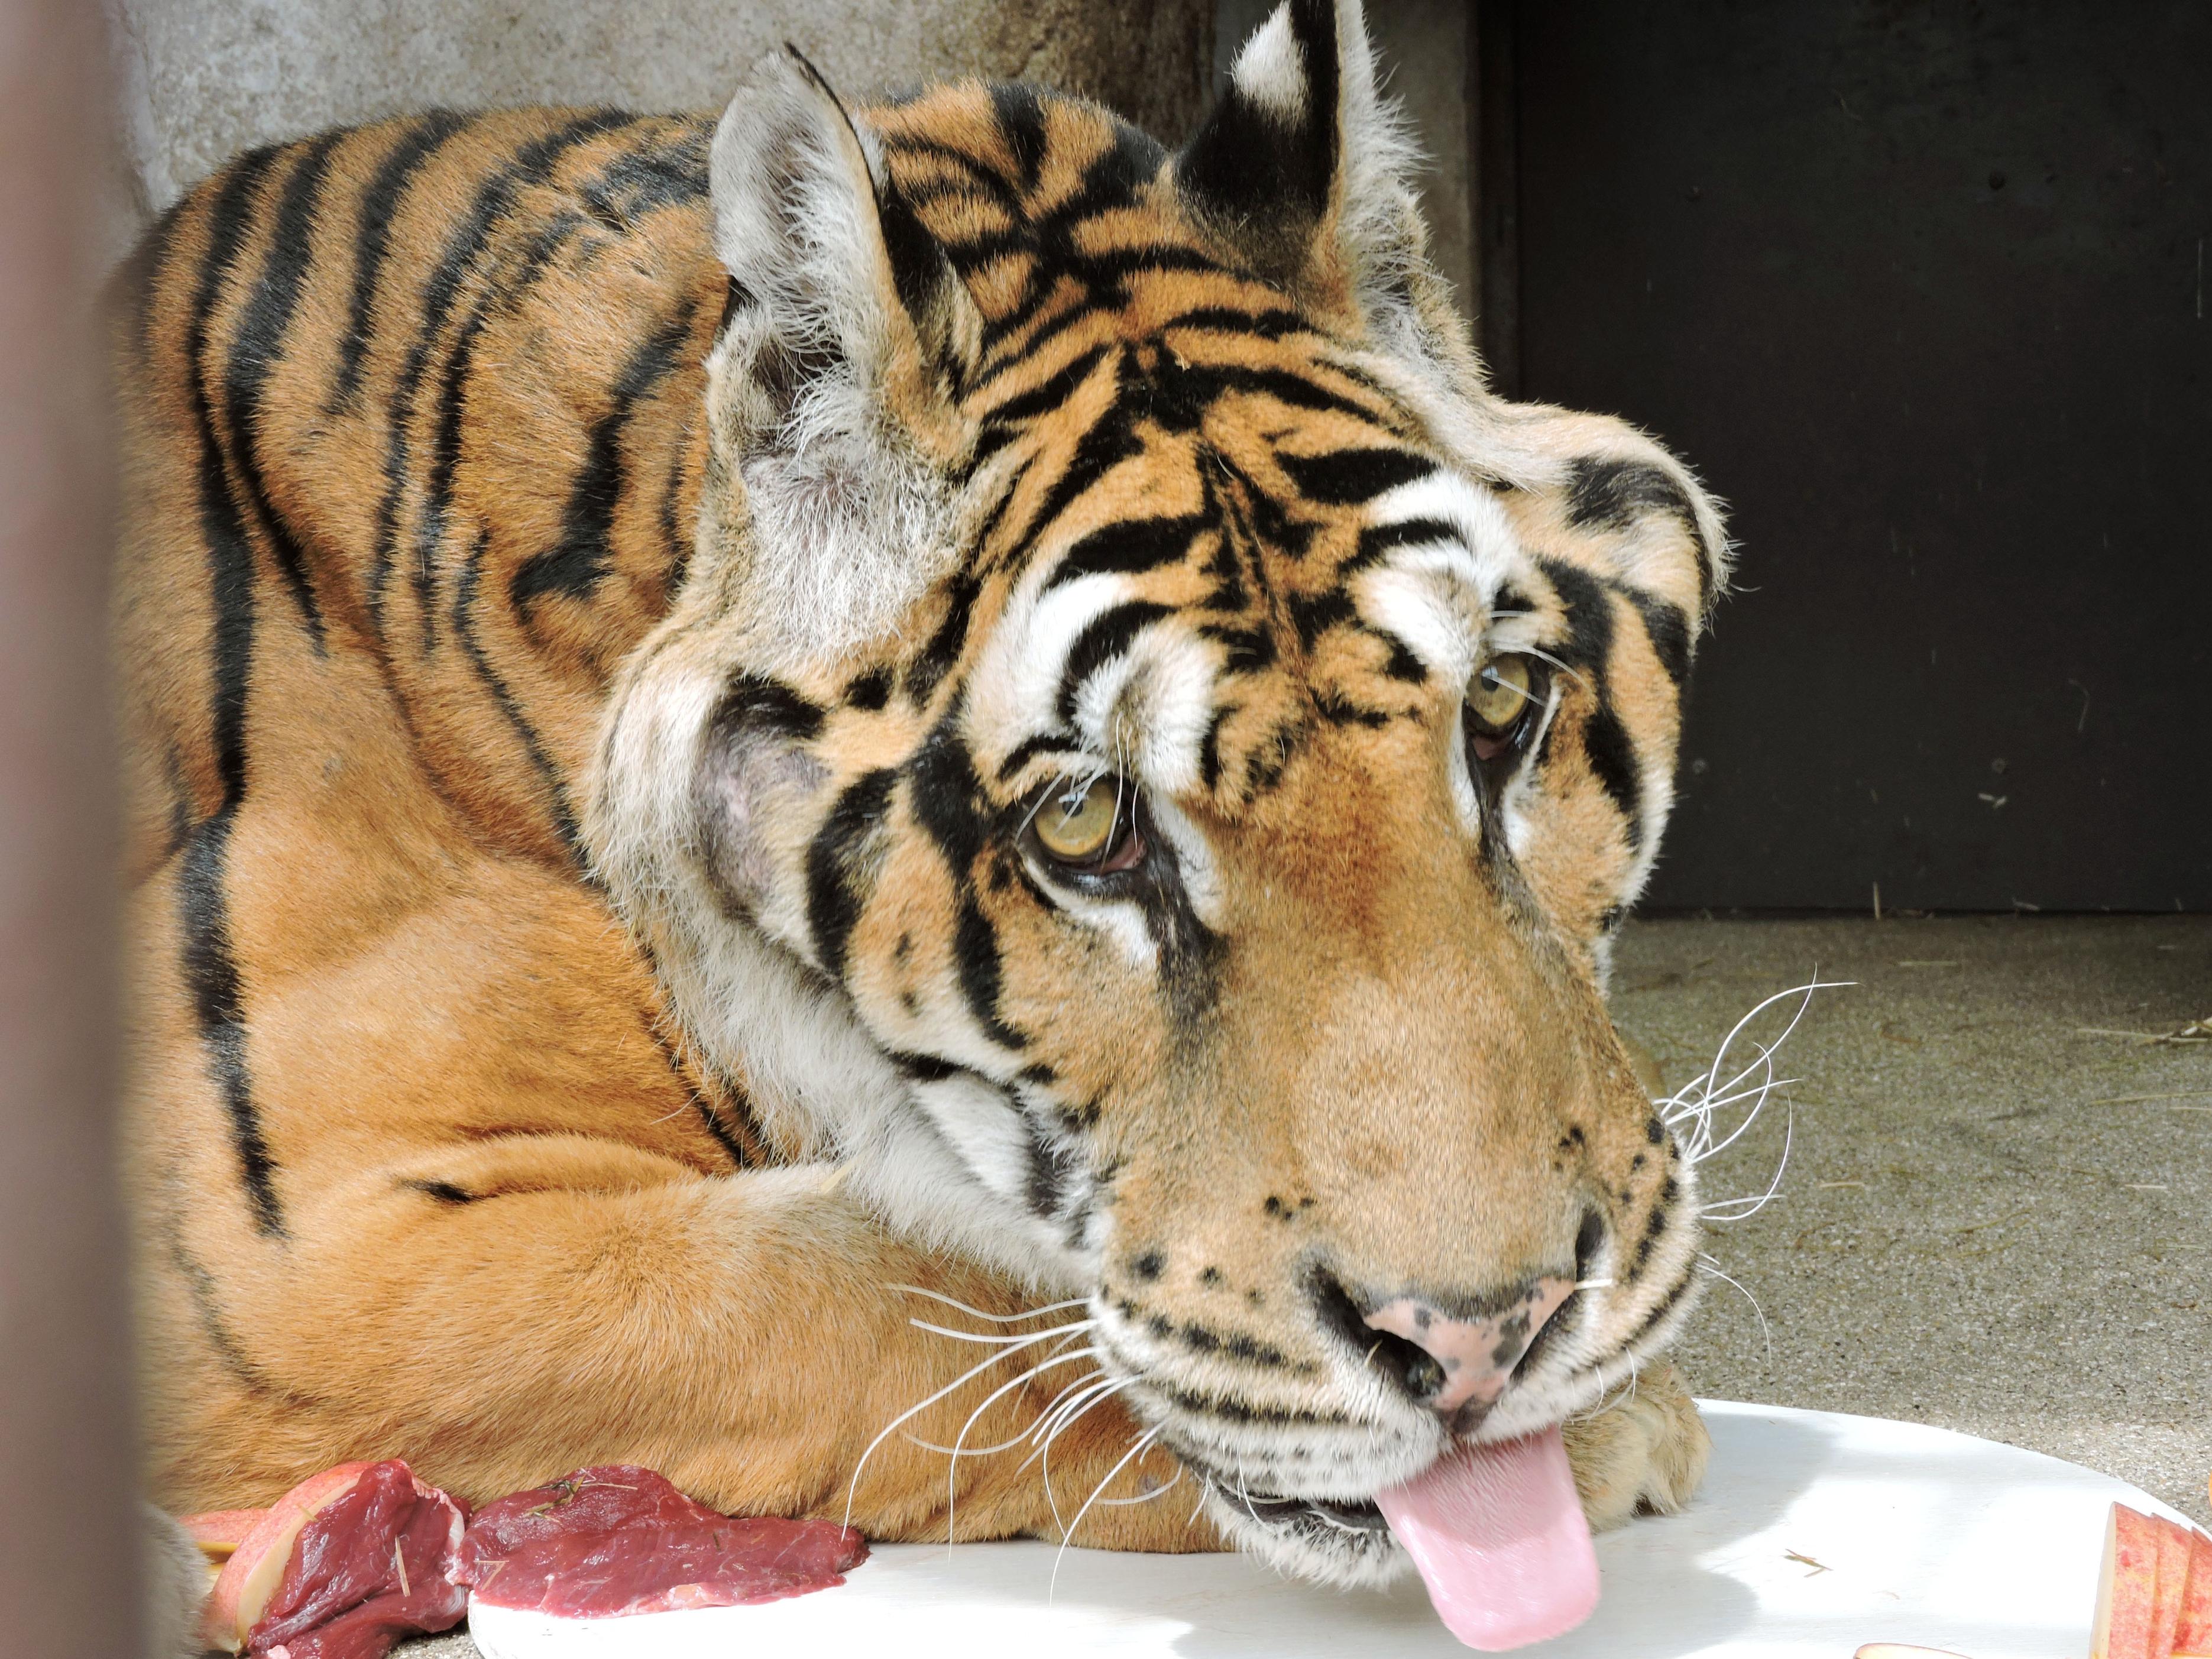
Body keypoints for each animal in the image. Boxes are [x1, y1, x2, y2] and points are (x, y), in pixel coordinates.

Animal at [112, 0, 1717, 1601]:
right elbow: (877, 1282)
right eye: (1084, 825)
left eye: (1497, 708)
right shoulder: (283, 1254)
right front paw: (1607, 1424)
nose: (1488, 1342)